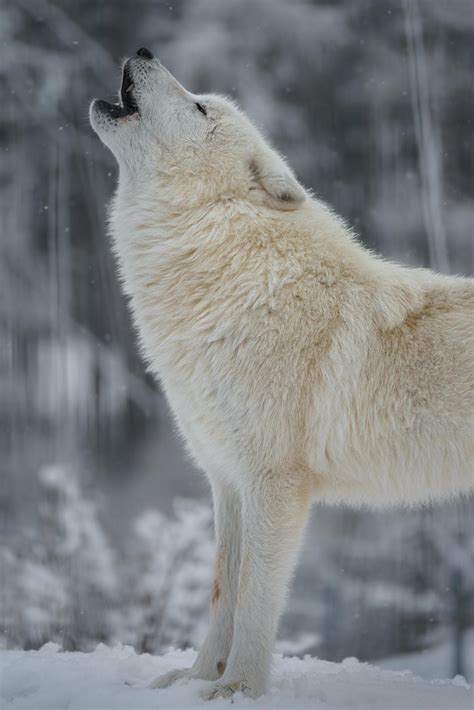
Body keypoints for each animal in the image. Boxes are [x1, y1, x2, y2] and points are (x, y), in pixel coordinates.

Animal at [90, 48, 474, 700]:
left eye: (200, 108)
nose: (142, 51)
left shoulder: (274, 482)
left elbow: (255, 598)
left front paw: (237, 689)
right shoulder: (226, 479)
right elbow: (222, 591)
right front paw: (195, 681)